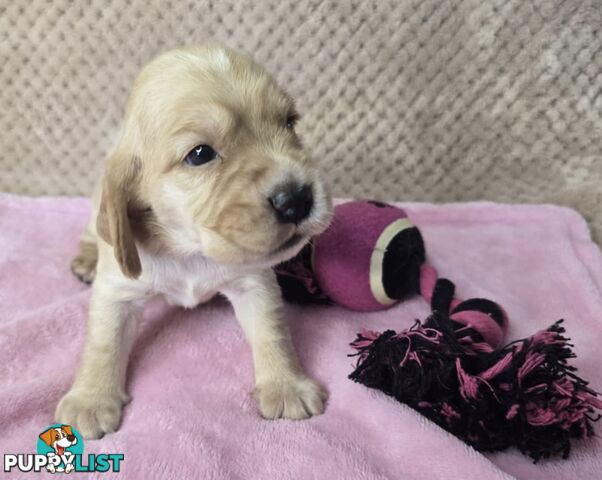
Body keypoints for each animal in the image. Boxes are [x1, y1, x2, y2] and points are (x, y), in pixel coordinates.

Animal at [56, 46, 332, 438]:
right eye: (200, 154)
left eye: (290, 123)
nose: (297, 199)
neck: (189, 247)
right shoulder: (117, 292)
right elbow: (103, 343)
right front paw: (90, 399)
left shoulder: (255, 282)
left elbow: (272, 332)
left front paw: (286, 384)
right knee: (91, 233)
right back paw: (85, 261)